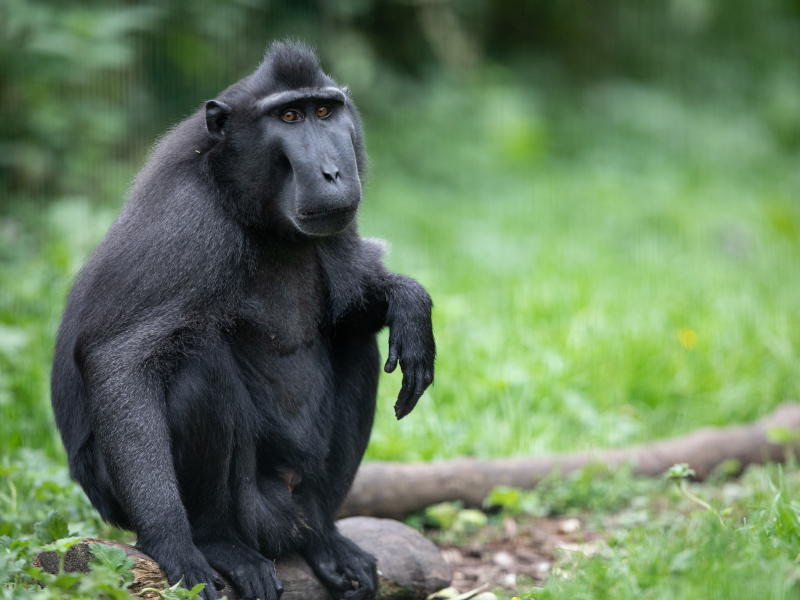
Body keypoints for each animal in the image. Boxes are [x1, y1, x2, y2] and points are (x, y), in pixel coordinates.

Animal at [50, 42, 434, 600]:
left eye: (325, 110)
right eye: (289, 117)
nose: (334, 174)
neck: (252, 208)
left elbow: (353, 312)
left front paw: (408, 301)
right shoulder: (188, 223)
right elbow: (118, 361)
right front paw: (171, 542)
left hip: (298, 497)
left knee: (356, 342)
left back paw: (322, 538)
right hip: (253, 508)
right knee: (195, 366)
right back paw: (219, 544)